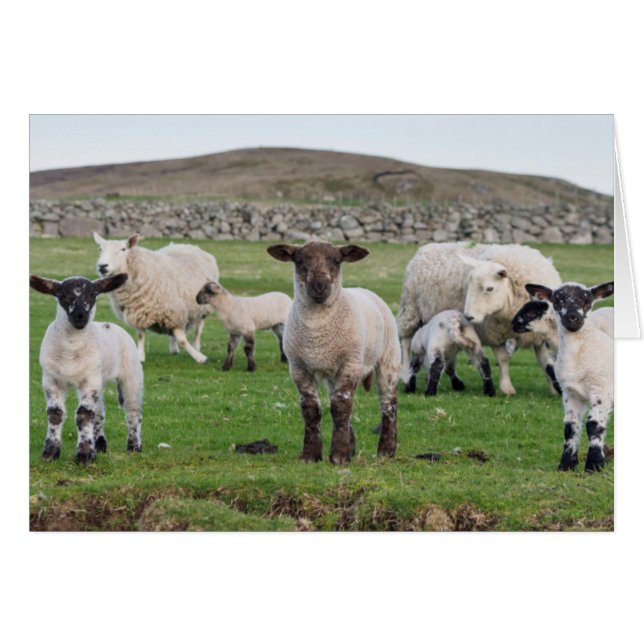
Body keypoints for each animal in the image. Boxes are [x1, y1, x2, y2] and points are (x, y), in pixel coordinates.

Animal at [30, 273, 143, 464]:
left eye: (93, 295)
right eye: (62, 296)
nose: (80, 316)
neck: (70, 351)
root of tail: (109, 324)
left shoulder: (90, 380)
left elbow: (84, 414)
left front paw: (85, 455)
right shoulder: (51, 380)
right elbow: (55, 413)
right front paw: (50, 452)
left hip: (131, 373)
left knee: (133, 411)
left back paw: (134, 446)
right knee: (100, 412)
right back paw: (100, 444)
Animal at [93, 232, 219, 364]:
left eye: (123, 249)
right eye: (100, 249)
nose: (102, 266)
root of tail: (188, 245)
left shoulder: (174, 311)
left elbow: (182, 340)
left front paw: (200, 358)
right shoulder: (140, 312)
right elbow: (141, 335)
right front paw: (140, 356)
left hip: (203, 305)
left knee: (199, 327)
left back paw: (196, 346)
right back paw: (174, 349)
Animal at [267, 241, 400, 464]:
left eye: (337, 261)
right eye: (299, 260)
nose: (320, 286)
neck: (317, 333)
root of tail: (364, 290)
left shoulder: (350, 363)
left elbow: (341, 406)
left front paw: (338, 455)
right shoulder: (299, 368)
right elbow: (312, 409)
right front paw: (311, 455)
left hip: (388, 359)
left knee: (388, 403)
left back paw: (386, 451)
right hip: (333, 374)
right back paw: (352, 448)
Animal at [397, 242, 561, 396]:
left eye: (490, 288)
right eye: (469, 285)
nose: (468, 316)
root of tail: (426, 247)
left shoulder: (539, 336)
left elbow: (545, 363)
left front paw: (553, 388)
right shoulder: (494, 335)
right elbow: (503, 360)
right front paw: (507, 388)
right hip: (411, 309)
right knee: (406, 342)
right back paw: (405, 375)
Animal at [525, 281, 614, 472]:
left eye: (587, 300)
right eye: (557, 300)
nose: (573, 318)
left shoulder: (601, 390)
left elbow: (593, 425)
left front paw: (594, 465)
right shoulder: (570, 392)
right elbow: (570, 426)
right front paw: (566, 464)